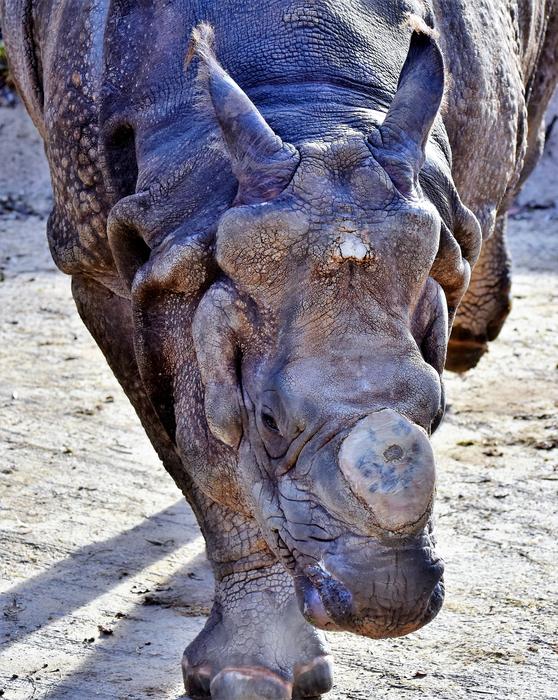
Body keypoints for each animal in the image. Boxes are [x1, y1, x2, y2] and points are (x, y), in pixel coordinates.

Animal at [2, 0, 557, 697]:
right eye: (267, 420)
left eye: (434, 411)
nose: (387, 602)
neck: (313, 106)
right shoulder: (120, 256)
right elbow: (211, 464)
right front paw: (249, 675)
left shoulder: (444, 229)